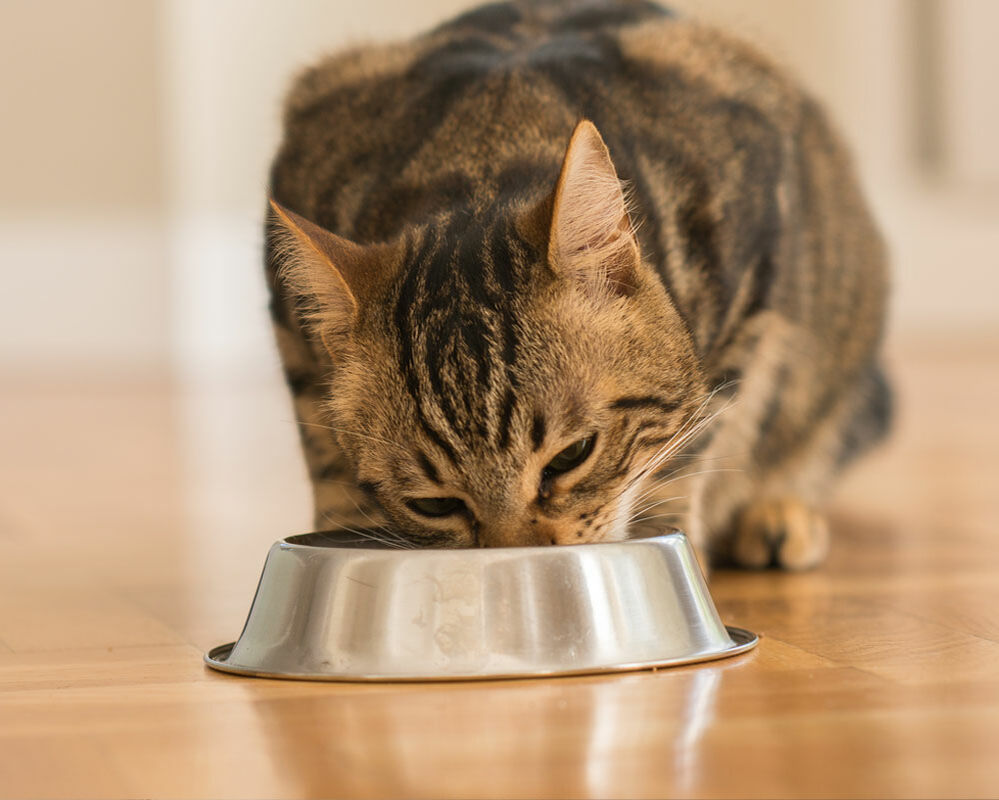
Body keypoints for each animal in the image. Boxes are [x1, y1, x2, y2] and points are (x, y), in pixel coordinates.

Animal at [264, 0, 892, 568]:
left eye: (571, 456)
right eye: (435, 504)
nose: (515, 555)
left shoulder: (756, 266)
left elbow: (691, 449)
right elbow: (328, 464)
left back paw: (778, 513)